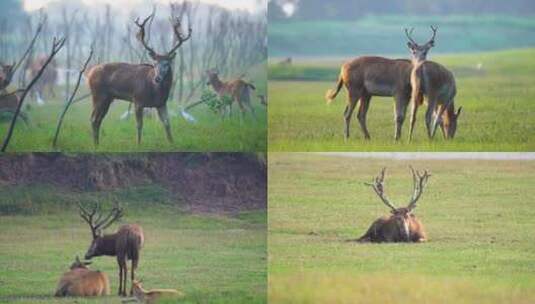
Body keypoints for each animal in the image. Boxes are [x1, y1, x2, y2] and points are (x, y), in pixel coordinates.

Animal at [88, 14, 195, 145]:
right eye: (154, 64)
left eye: (167, 64)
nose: (157, 78)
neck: (156, 92)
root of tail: (89, 73)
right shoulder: (137, 100)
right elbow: (139, 125)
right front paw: (138, 144)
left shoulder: (161, 103)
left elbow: (167, 123)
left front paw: (172, 143)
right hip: (98, 95)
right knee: (93, 119)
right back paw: (95, 144)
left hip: (108, 98)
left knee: (98, 119)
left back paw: (97, 144)